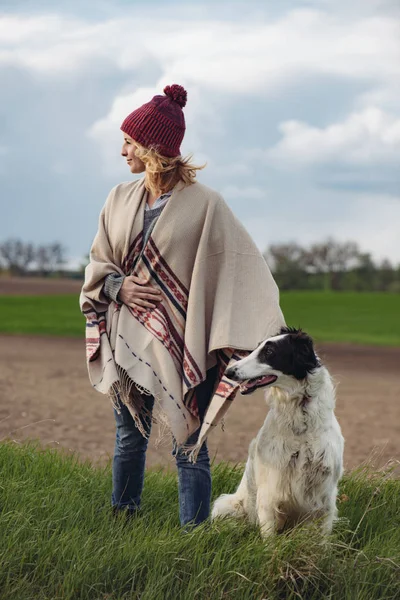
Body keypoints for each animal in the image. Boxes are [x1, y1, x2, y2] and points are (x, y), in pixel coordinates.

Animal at [212, 328, 344, 540]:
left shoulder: (324, 497)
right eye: (256, 348)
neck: (301, 425)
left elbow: (322, 541)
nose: (229, 372)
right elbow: (269, 540)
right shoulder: (270, 492)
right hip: (226, 506)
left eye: (269, 352)